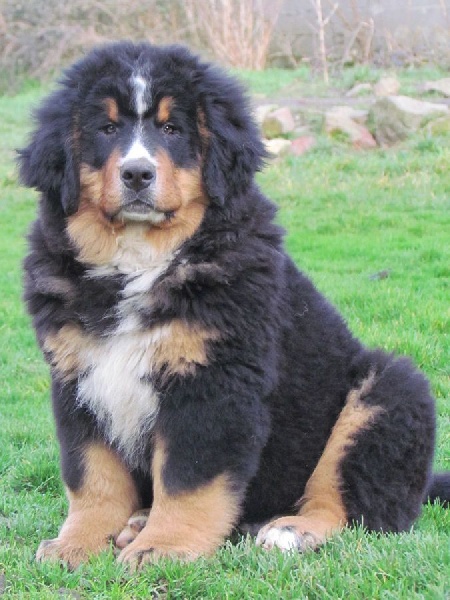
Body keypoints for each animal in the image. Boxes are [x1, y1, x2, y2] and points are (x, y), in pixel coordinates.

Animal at [19, 42, 449, 569]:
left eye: (172, 130)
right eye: (106, 129)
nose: (137, 173)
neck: (139, 260)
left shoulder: (214, 382)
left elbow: (188, 478)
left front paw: (162, 547)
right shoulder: (78, 377)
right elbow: (92, 476)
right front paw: (77, 544)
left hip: (388, 391)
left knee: (357, 508)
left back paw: (291, 530)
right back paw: (138, 521)